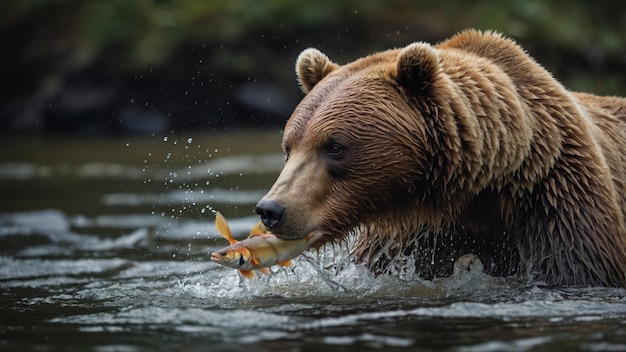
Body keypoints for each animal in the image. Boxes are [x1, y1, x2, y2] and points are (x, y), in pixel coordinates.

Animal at [254, 29, 624, 288]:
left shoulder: (552, 195)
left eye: (333, 146)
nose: (271, 209)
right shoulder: (406, 237)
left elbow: (574, 264)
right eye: (289, 147)